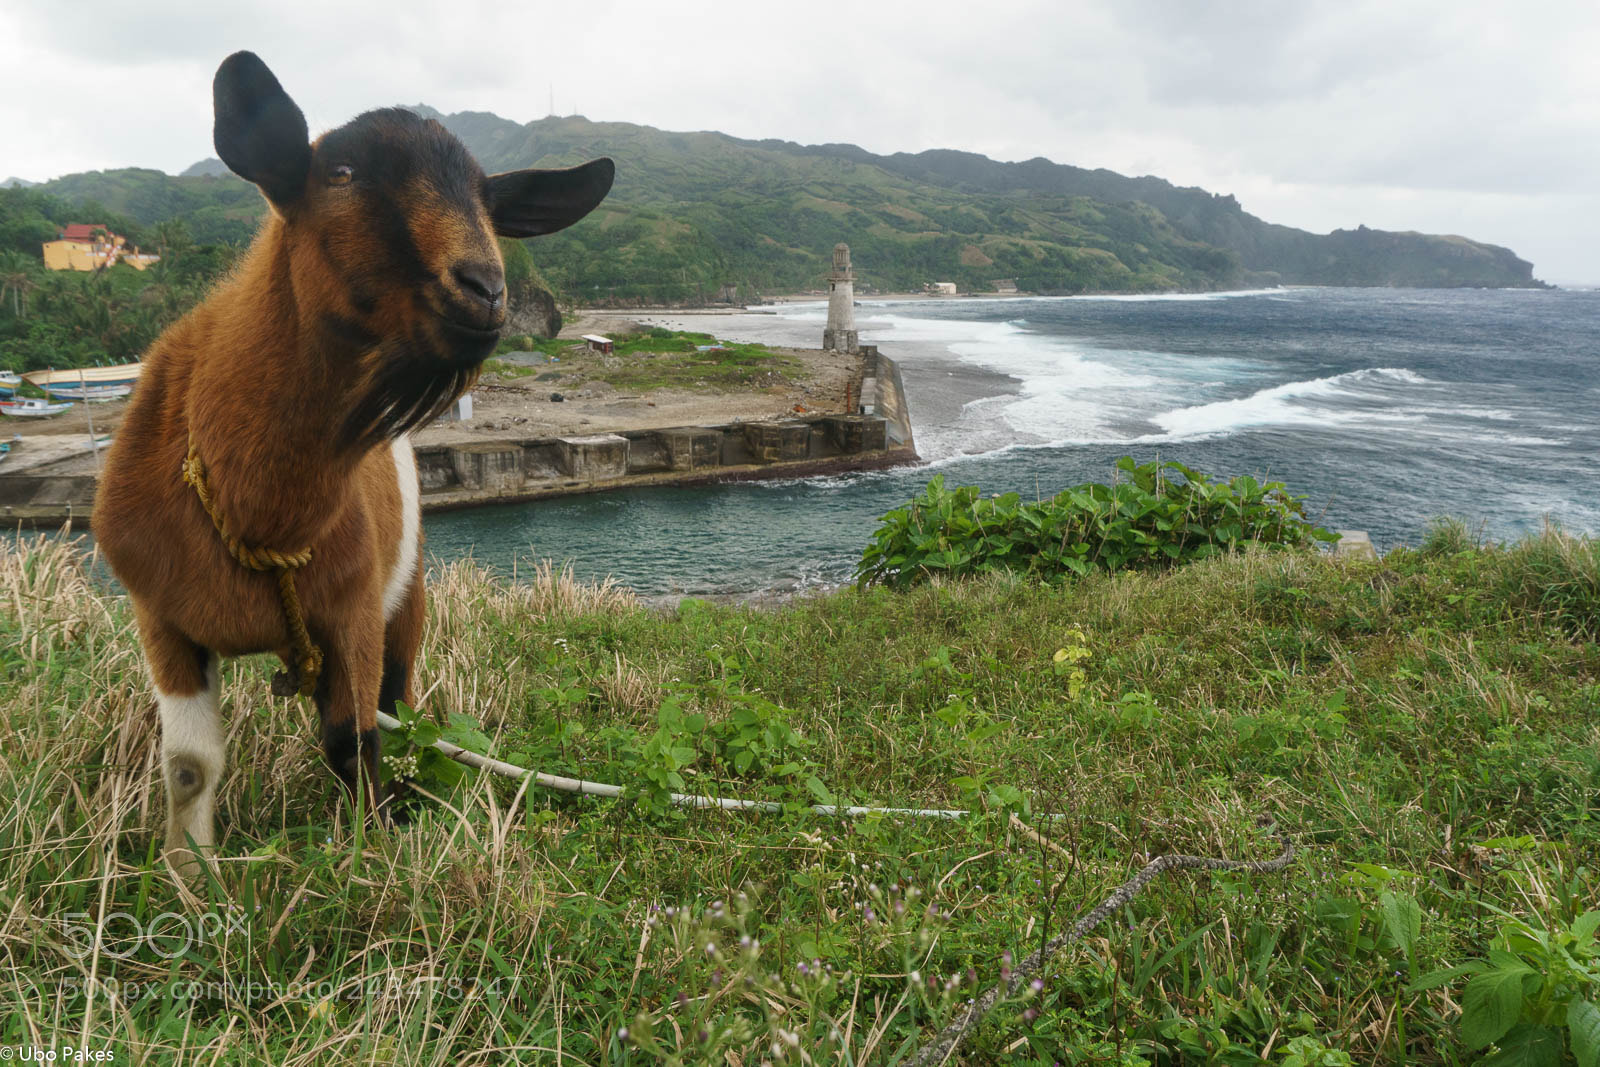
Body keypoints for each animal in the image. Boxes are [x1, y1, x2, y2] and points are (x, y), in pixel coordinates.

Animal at [95, 52, 613, 874]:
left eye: (486, 199)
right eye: (338, 173)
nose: (486, 289)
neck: (256, 517)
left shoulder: (355, 608)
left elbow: (352, 737)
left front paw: (375, 838)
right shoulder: (160, 617)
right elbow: (189, 766)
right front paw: (188, 875)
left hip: (410, 593)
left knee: (397, 702)